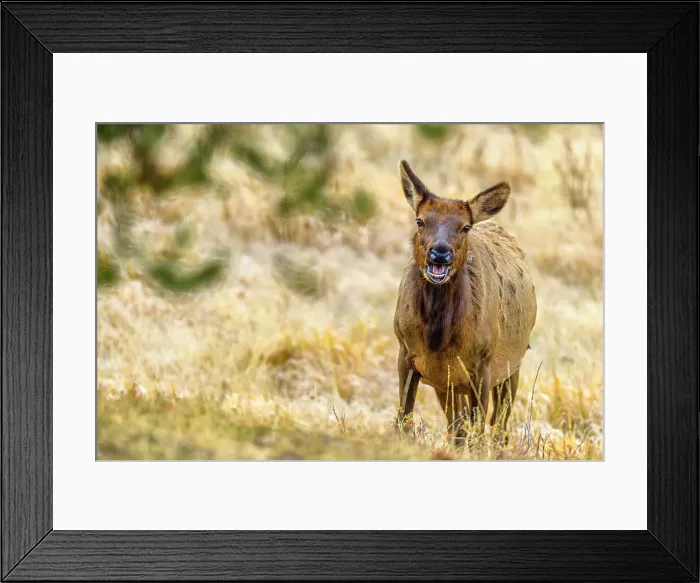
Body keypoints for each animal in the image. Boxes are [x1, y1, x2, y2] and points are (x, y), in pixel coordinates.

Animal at [393, 160, 537, 443]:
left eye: (465, 227)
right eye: (420, 221)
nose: (439, 253)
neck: (437, 339)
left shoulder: (483, 364)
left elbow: (478, 429)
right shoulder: (405, 350)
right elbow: (404, 418)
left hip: (512, 363)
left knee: (499, 426)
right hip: (450, 385)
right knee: (457, 426)